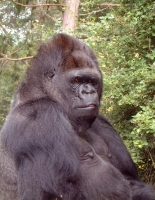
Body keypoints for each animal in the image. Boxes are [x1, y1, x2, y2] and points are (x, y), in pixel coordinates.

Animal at [0, 33, 155, 199]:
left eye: (92, 81)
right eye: (76, 80)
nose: (89, 92)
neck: (41, 92)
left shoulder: (102, 122)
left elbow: (130, 179)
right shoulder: (40, 116)